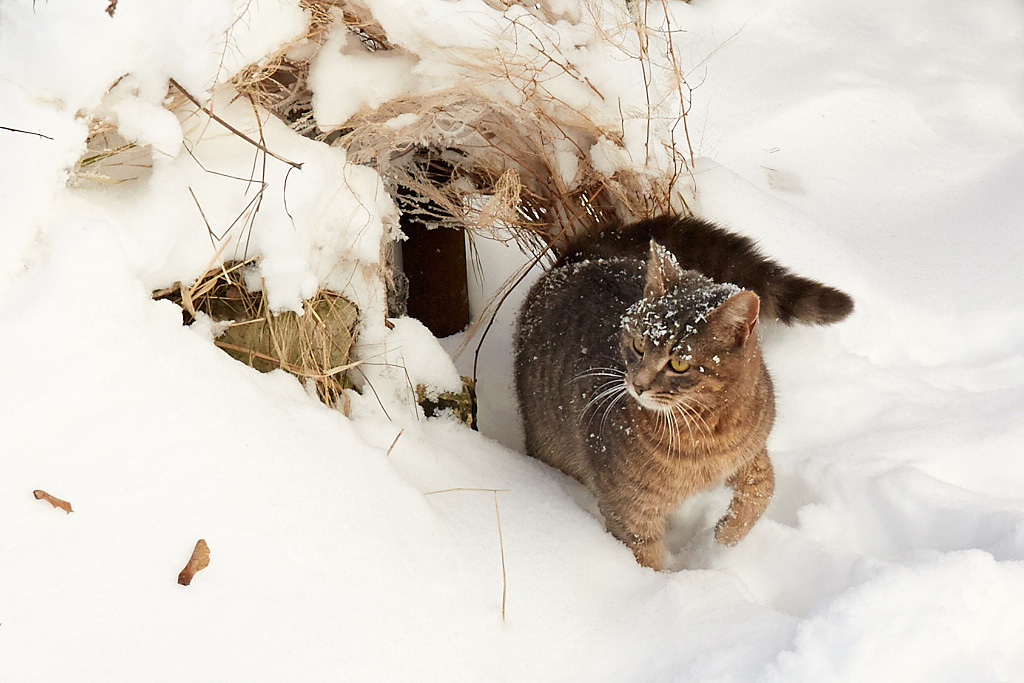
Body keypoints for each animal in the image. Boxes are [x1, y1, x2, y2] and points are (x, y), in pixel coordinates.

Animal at [516, 216, 851, 569]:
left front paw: (725, 536)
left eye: (678, 363)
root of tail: (580, 256)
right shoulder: (630, 508)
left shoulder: (750, 450)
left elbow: (764, 486)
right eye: (638, 345)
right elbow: (645, 559)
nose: (638, 385)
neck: (707, 433)